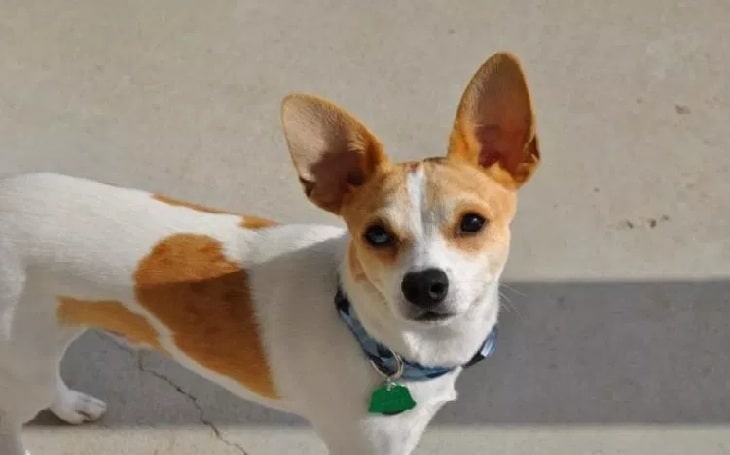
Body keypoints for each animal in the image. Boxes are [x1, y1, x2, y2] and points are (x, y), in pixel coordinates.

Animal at [0, 51, 536, 454]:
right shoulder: (366, 448)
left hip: (45, 338)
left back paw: (70, 405)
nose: (425, 284)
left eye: (472, 223)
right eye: (377, 235)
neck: (369, 333)